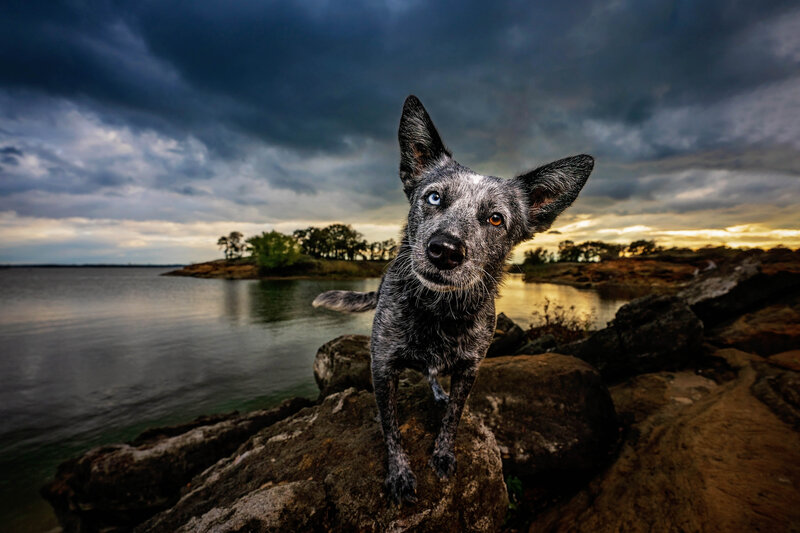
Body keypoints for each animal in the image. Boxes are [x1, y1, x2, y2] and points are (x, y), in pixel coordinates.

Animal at [314, 95, 592, 502]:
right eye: (433, 197)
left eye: (495, 219)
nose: (445, 250)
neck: (438, 311)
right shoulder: (383, 367)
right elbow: (391, 429)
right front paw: (399, 472)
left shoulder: (469, 370)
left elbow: (453, 419)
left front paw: (443, 453)